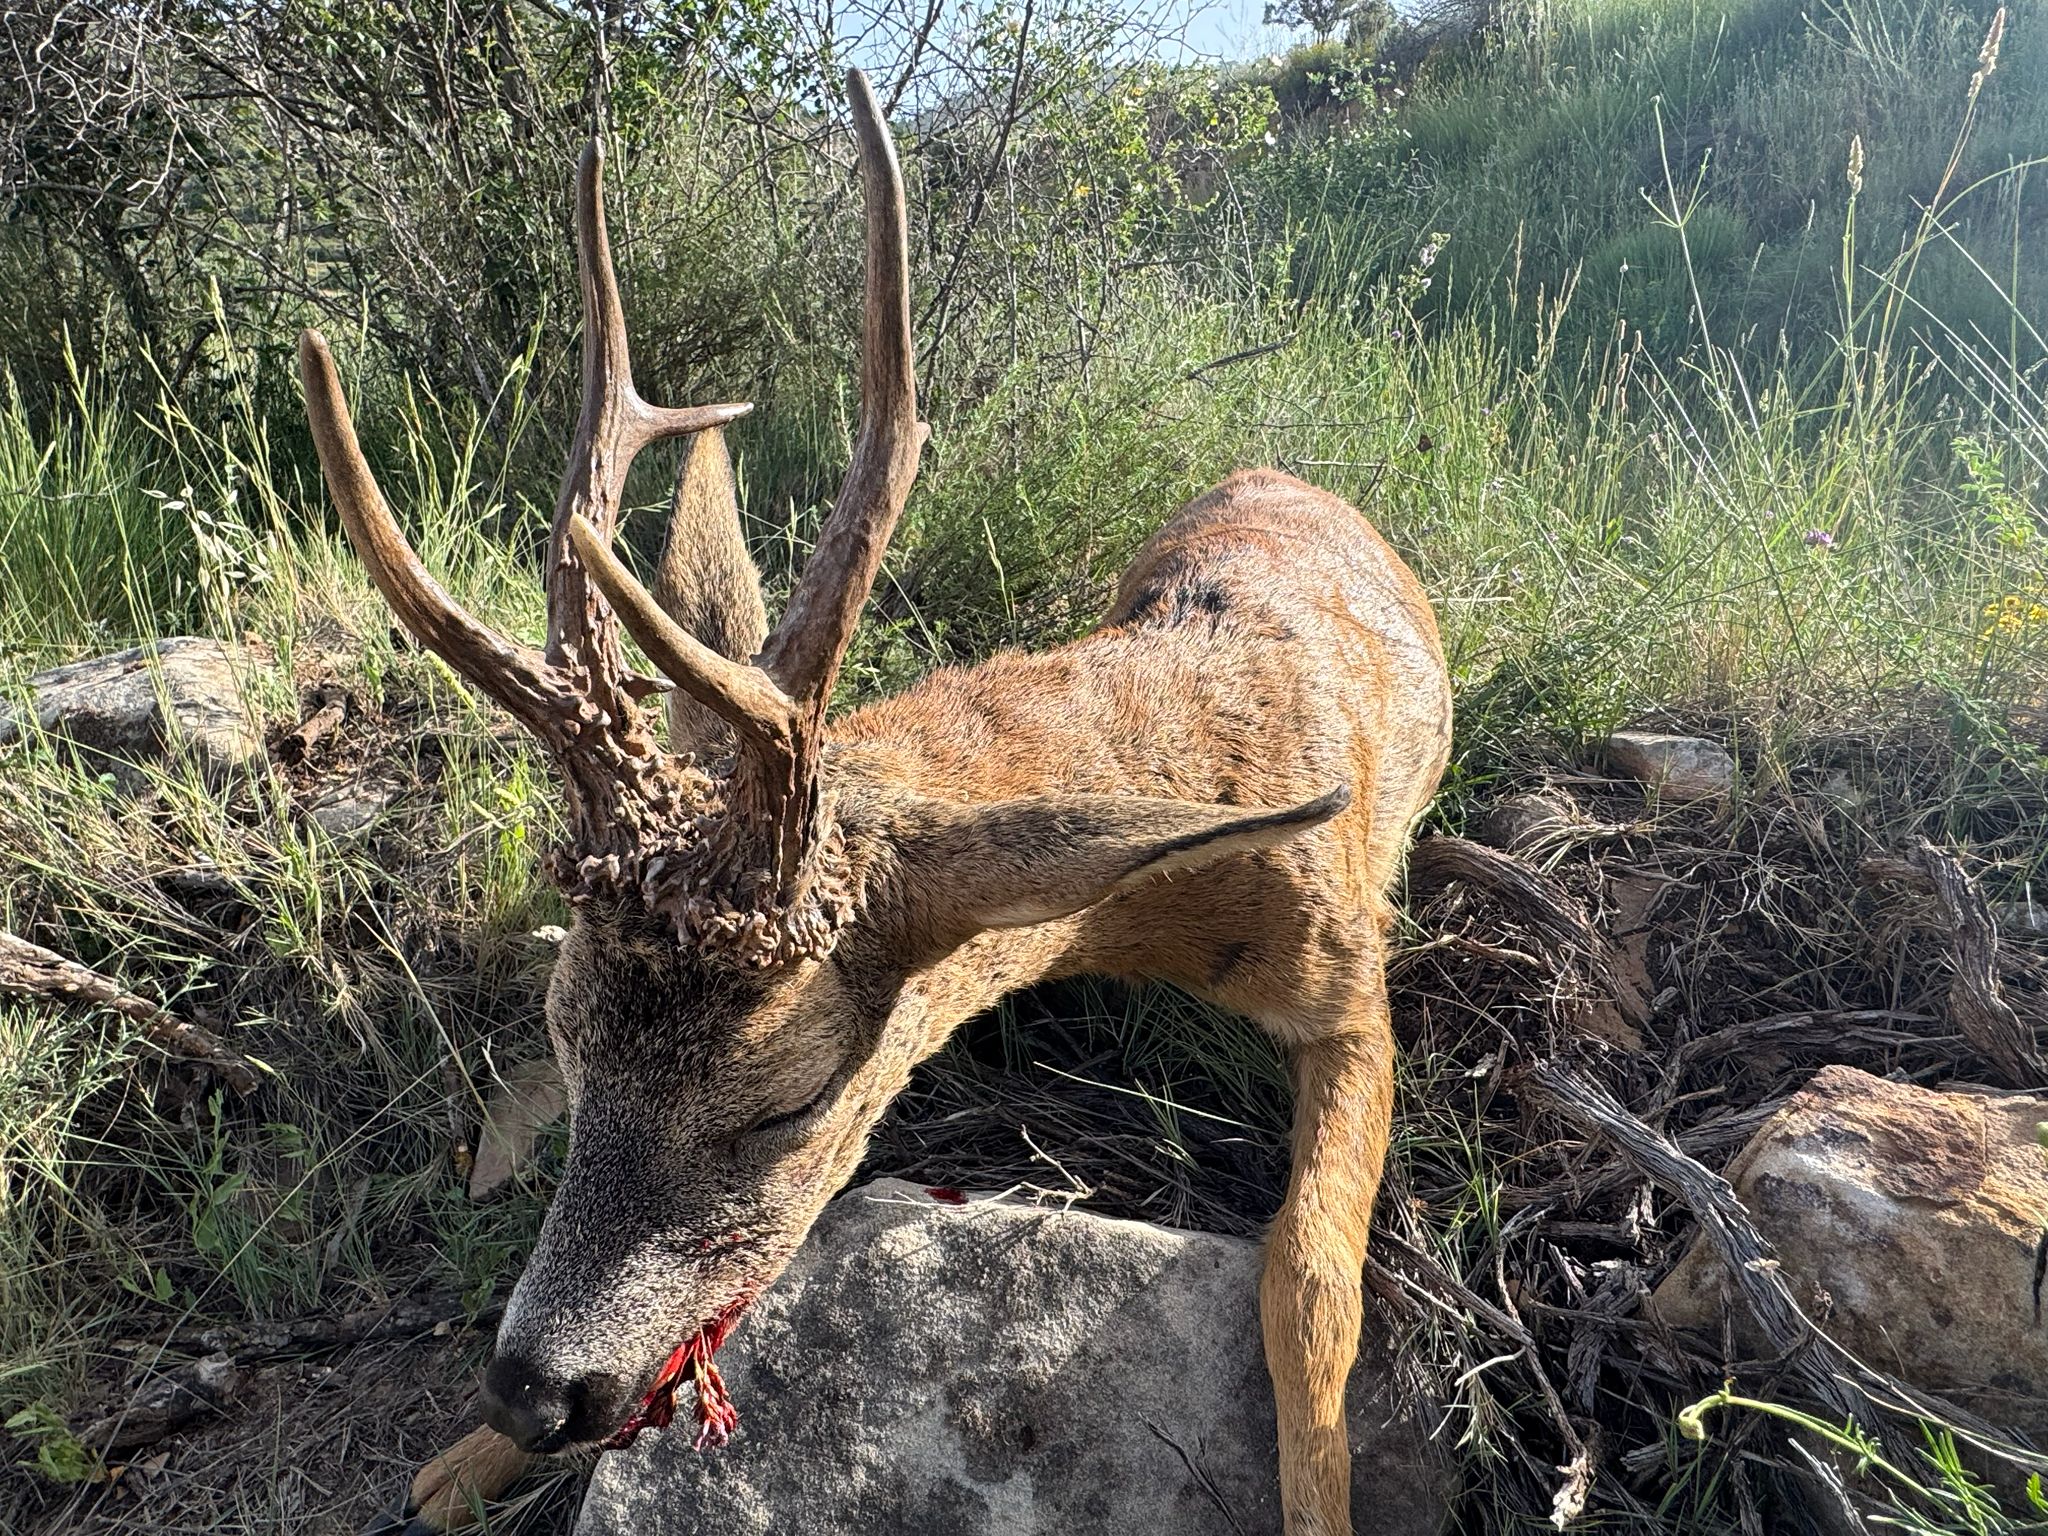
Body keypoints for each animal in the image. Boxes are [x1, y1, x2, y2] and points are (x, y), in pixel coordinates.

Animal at [307, 70, 1450, 1536]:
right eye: (563, 1035)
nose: (531, 1394)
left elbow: (1305, 1276)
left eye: (786, 1102)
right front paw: (459, 1463)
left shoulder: (1351, 978)